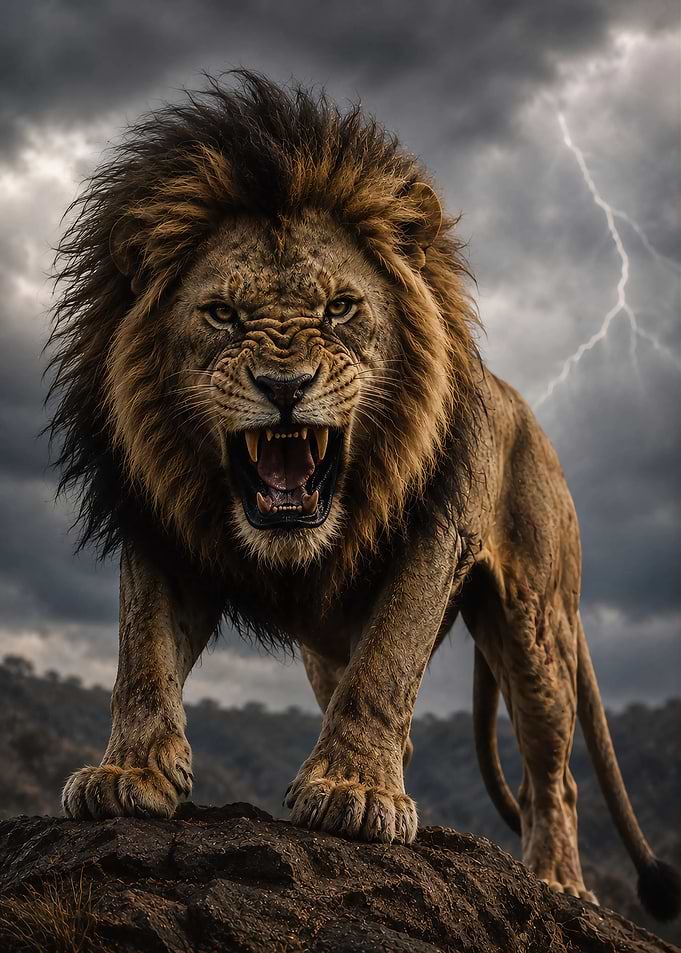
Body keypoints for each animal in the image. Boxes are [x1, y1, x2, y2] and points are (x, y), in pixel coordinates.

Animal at [48, 71, 679, 920]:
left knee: (553, 774)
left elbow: (386, 664)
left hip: (538, 625)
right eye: (222, 314)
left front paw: (351, 792)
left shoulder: (434, 535)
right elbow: (141, 653)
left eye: (339, 308)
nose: (284, 386)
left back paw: (555, 881)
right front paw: (130, 773)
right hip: (328, 650)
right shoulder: (158, 522)